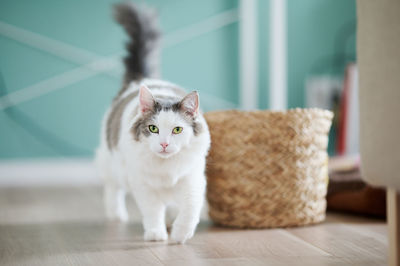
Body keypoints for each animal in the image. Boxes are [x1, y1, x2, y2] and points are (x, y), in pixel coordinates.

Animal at [95, 2, 211, 244]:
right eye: (153, 128)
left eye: (177, 129)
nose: (164, 144)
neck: (166, 169)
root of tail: (141, 79)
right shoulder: (143, 186)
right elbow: (153, 211)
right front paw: (157, 235)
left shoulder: (193, 182)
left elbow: (189, 212)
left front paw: (179, 236)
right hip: (112, 165)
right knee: (112, 189)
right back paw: (116, 215)